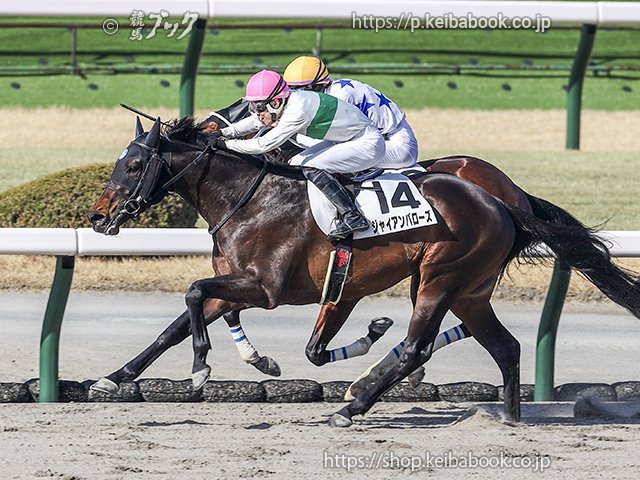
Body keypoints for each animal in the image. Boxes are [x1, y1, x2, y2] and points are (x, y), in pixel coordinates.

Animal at [87, 117, 640, 426]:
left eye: (132, 166)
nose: (96, 216)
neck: (249, 198)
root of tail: (504, 201)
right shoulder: (246, 286)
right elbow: (178, 323)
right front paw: (113, 379)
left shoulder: (264, 287)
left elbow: (193, 292)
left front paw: (203, 367)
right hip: (468, 290)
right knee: (504, 346)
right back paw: (509, 417)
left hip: (440, 277)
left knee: (419, 345)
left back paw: (351, 407)